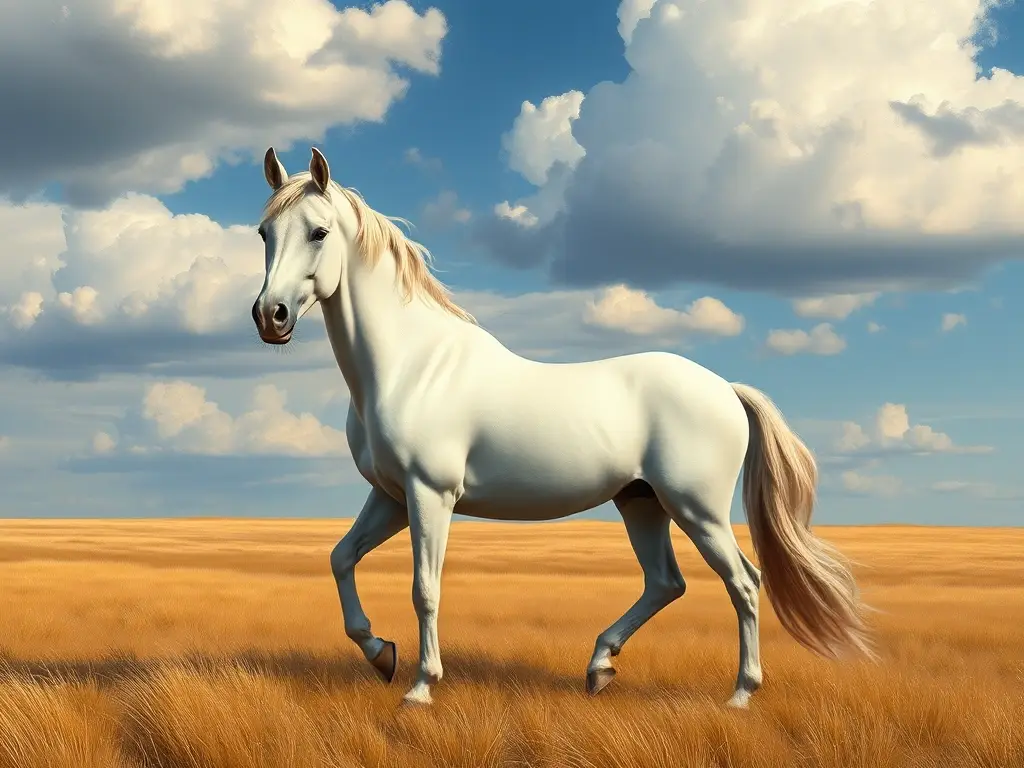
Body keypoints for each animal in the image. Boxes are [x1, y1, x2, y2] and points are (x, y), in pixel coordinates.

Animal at [250, 145, 874, 708]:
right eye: (263, 233)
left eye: (319, 232)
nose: (269, 317)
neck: (412, 366)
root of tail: (726, 389)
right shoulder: (391, 496)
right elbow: (341, 558)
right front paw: (381, 654)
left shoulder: (431, 495)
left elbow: (425, 589)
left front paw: (421, 688)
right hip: (641, 502)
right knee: (666, 582)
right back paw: (600, 667)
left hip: (695, 508)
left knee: (743, 582)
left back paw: (741, 694)